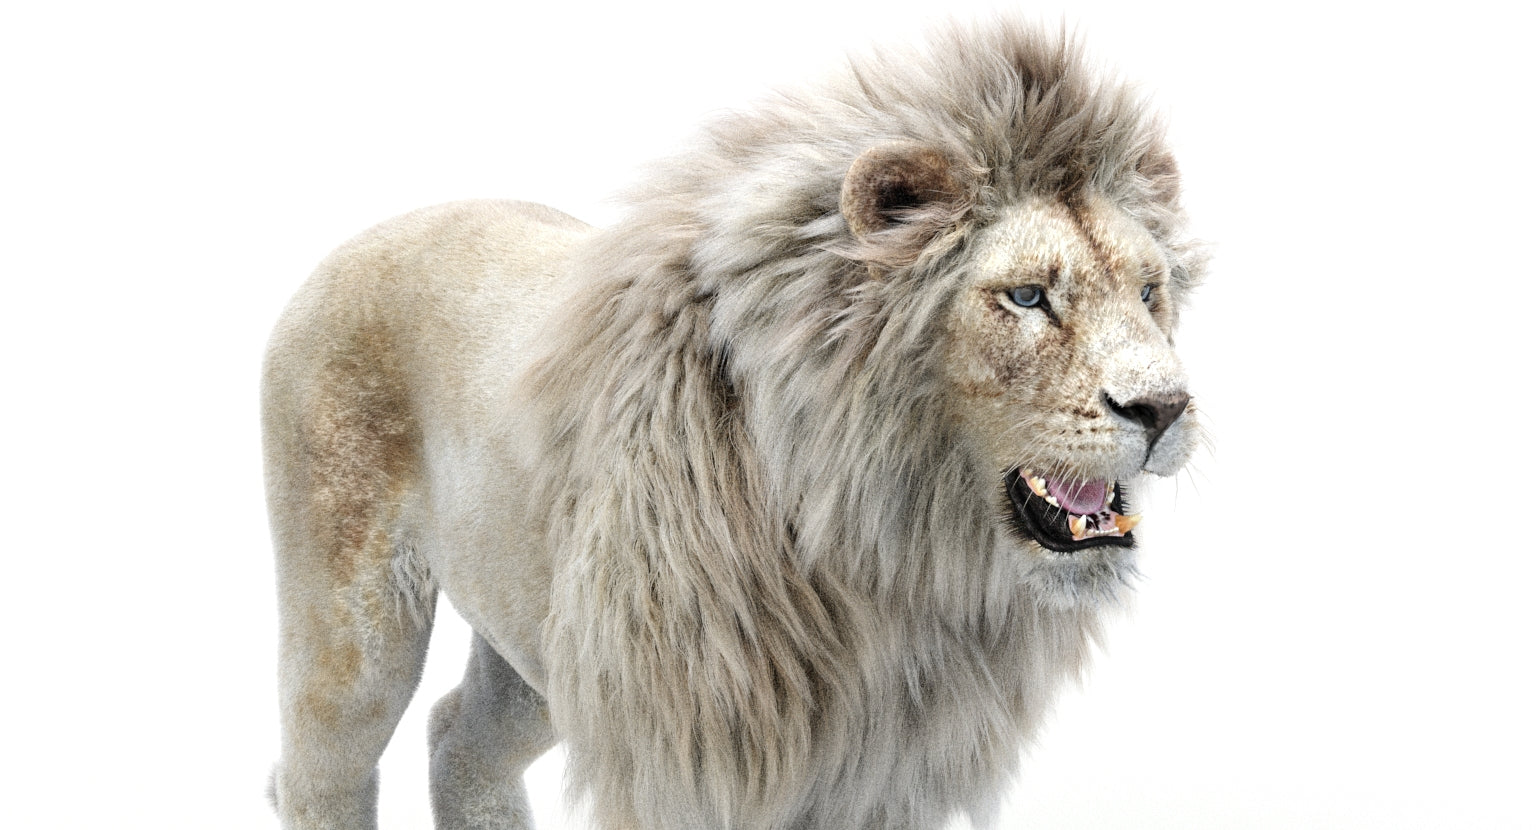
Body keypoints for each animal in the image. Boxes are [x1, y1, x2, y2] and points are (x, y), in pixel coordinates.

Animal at [262, 19, 1204, 830]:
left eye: (1148, 291)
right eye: (1028, 296)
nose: (1164, 408)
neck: (888, 564)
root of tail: (354, 243)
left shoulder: (882, 772)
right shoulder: (685, 756)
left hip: (534, 641)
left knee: (459, 738)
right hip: (356, 630)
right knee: (316, 774)